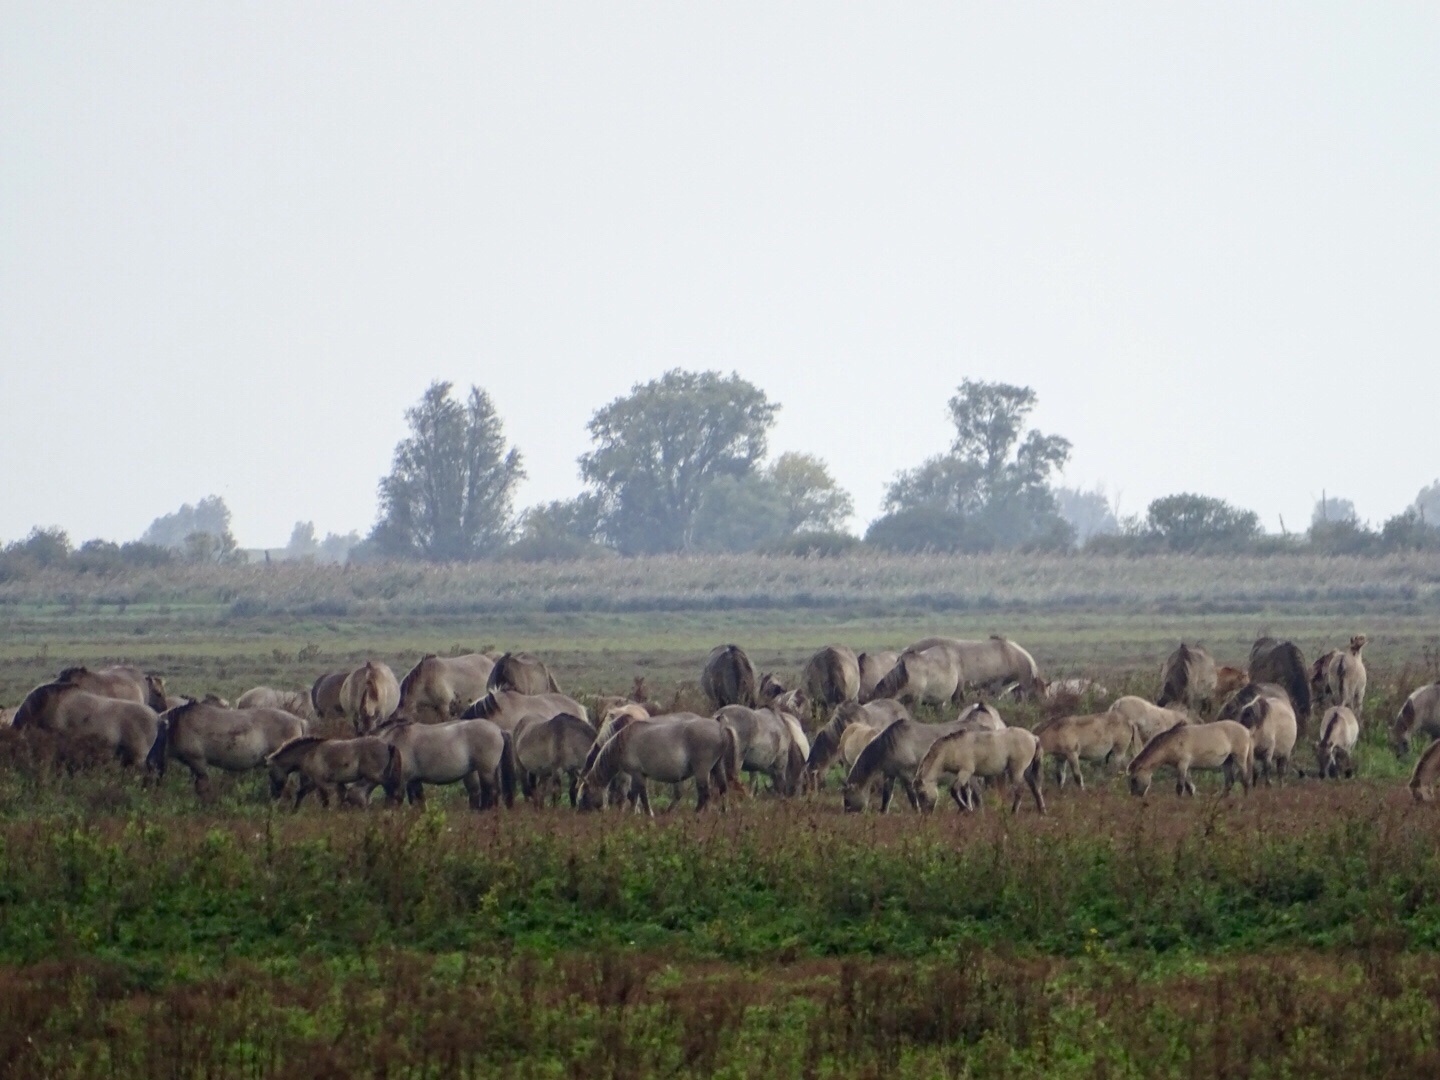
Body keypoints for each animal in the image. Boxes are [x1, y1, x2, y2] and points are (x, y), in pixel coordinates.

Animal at [147, 696, 305, 800]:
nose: (149, 761)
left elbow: (203, 788)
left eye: (156, 735)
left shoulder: (198, 762)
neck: (177, 724)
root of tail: (299, 720)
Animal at [578, 714, 743, 817]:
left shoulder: (637, 774)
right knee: (722, 788)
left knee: (704, 794)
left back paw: (696, 813)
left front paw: (646, 813)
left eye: (584, 795)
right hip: (717, 767)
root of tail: (720, 727)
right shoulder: (639, 775)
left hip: (702, 771)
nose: (581, 814)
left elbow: (639, 794)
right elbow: (635, 795)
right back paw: (724, 811)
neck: (622, 741)